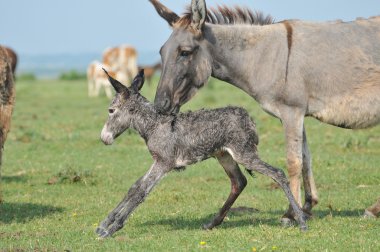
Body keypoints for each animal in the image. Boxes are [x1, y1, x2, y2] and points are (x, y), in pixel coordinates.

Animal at [95, 69, 308, 238]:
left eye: (111, 110)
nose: (104, 138)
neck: (153, 125)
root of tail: (248, 118)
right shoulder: (158, 162)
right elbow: (134, 187)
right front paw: (104, 223)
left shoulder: (164, 163)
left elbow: (141, 191)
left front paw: (111, 229)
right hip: (224, 155)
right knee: (239, 182)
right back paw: (212, 223)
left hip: (243, 154)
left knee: (277, 173)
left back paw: (301, 220)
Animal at [149, 0, 380, 220]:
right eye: (161, 52)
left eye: (185, 52)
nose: (160, 106)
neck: (264, 57)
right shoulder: (297, 114)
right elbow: (306, 158)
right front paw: (307, 206)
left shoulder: (291, 112)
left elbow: (293, 161)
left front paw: (291, 214)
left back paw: (372, 210)